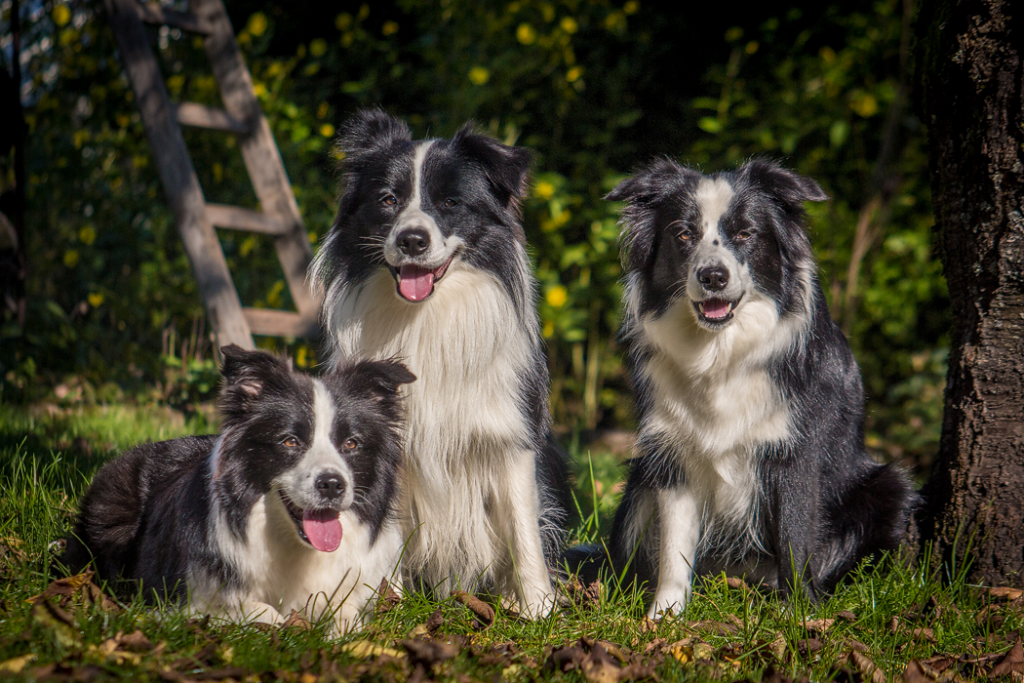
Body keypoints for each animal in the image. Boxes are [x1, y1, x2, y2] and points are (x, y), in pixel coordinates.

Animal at [61, 344, 413, 634]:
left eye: (351, 443)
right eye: (290, 441)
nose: (332, 485)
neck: (292, 544)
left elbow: (345, 615)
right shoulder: (185, 596)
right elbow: (257, 610)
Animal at [311, 109, 569, 618]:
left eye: (450, 202)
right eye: (387, 200)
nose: (411, 239)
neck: (425, 317)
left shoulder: (509, 437)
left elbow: (524, 528)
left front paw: (536, 608)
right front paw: (387, 603)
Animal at [598, 157, 913, 618]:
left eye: (746, 234)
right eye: (684, 234)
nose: (712, 276)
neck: (719, 352)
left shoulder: (796, 452)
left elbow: (794, 537)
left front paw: (799, 615)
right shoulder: (673, 453)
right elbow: (674, 548)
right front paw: (665, 616)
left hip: (890, 486)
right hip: (639, 482)